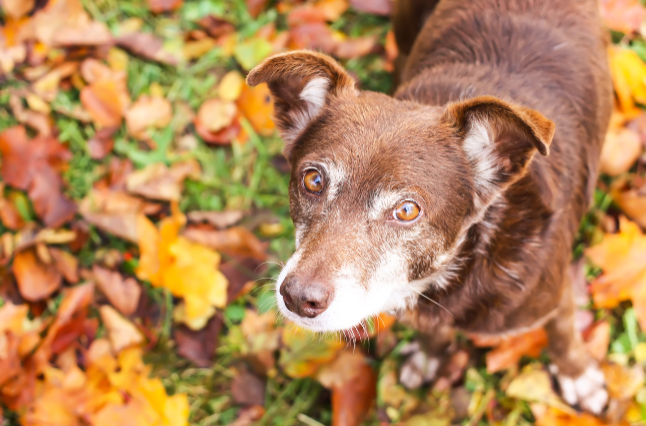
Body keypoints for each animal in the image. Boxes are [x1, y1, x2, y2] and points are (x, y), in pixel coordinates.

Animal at [247, 0, 612, 416]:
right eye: (313, 180)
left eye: (407, 211)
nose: (297, 297)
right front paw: (427, 356)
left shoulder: (553, 294)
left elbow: (564, 332)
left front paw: (578, 376)